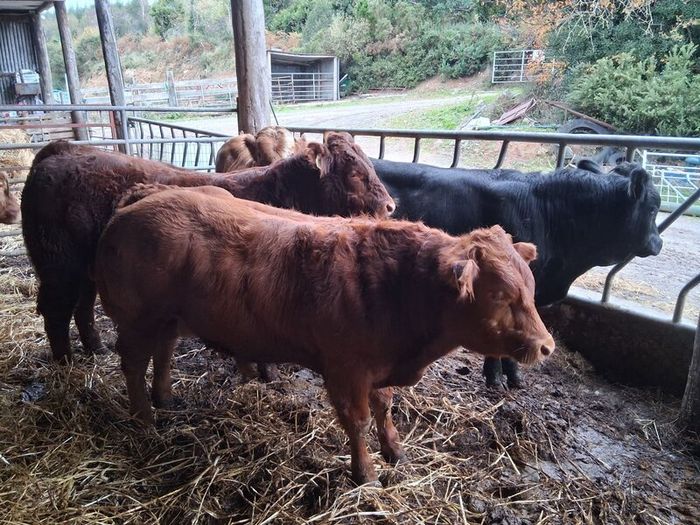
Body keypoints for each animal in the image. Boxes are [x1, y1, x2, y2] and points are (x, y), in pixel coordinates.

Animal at [21, 132, 395, 363]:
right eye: (354, 173)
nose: (391, 206)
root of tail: (61, 151)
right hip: (59, 268)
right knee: (56, 311)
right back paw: (66, 363)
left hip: (84, 271)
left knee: (81, 308)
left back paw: (97, 349)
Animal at [94, 186, 555, 486]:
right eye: (500, 295)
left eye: (531, 287)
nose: (546, 346)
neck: (397, 286)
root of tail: (137, 205)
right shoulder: (346, 371)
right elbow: (358, 420)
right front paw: (365, 473)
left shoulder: (377, 369)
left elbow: (385, 408)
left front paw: (395, 450)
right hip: (136, 321)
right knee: (133, 364)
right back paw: (146, 419)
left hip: (168, 320)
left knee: (164, 353)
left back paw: (166, 398)